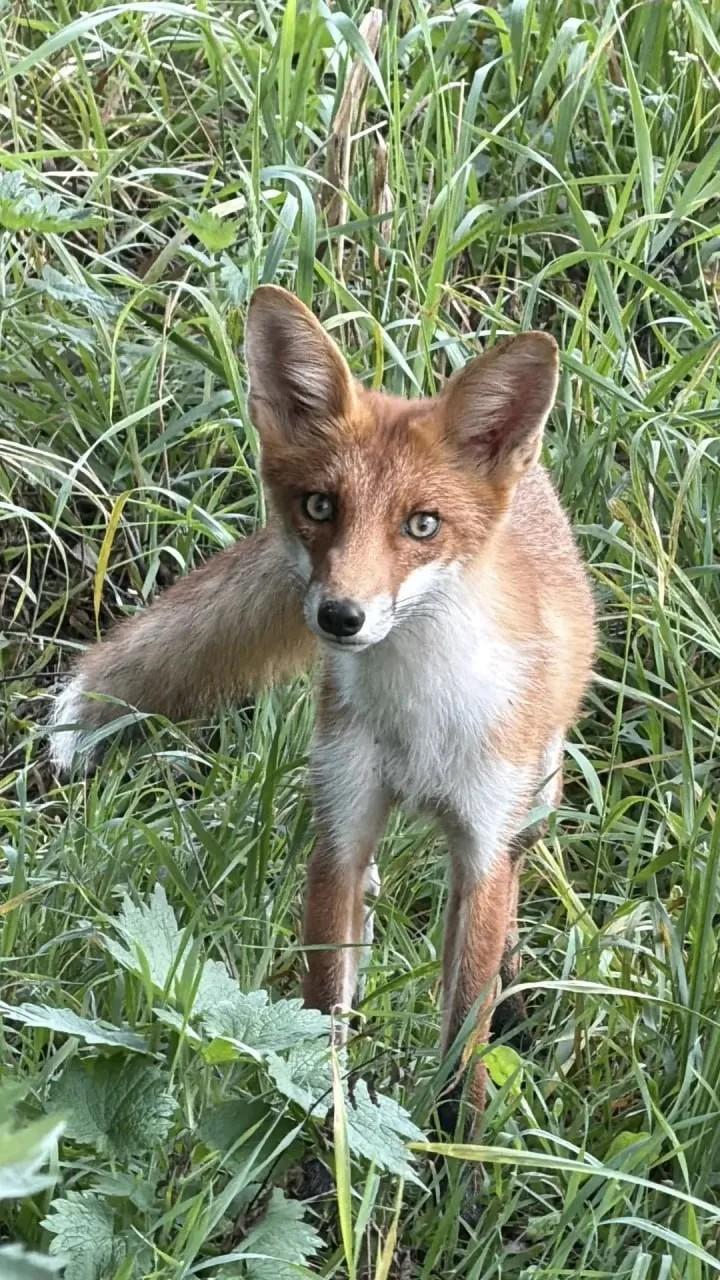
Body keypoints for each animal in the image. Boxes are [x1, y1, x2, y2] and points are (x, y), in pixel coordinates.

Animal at [51, 285, 595, 1128]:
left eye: (422, 524)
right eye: (319, 506)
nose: (341, 617)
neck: (420, 722)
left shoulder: (480, 846)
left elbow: (462, 1030)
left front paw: (459, 1148)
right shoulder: (339, 828)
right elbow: (320, 1010)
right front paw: (321, 1128)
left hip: (533, 799)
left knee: (503, 916)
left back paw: (516, 1008)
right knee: (368, 914)